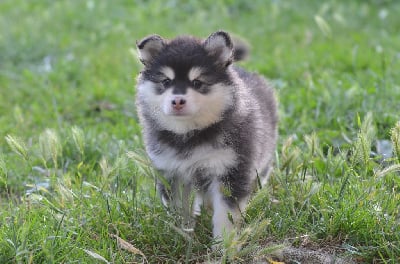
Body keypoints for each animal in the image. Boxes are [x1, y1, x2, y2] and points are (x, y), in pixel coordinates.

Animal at [136, 31, 276, 241]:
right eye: (166, 82)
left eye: (197, 82)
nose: (177, 101)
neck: (189, 134)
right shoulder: (170, 172)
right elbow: (179, 209)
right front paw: (183, 234)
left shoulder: (230, 171)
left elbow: (225, 216)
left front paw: (223, 244)